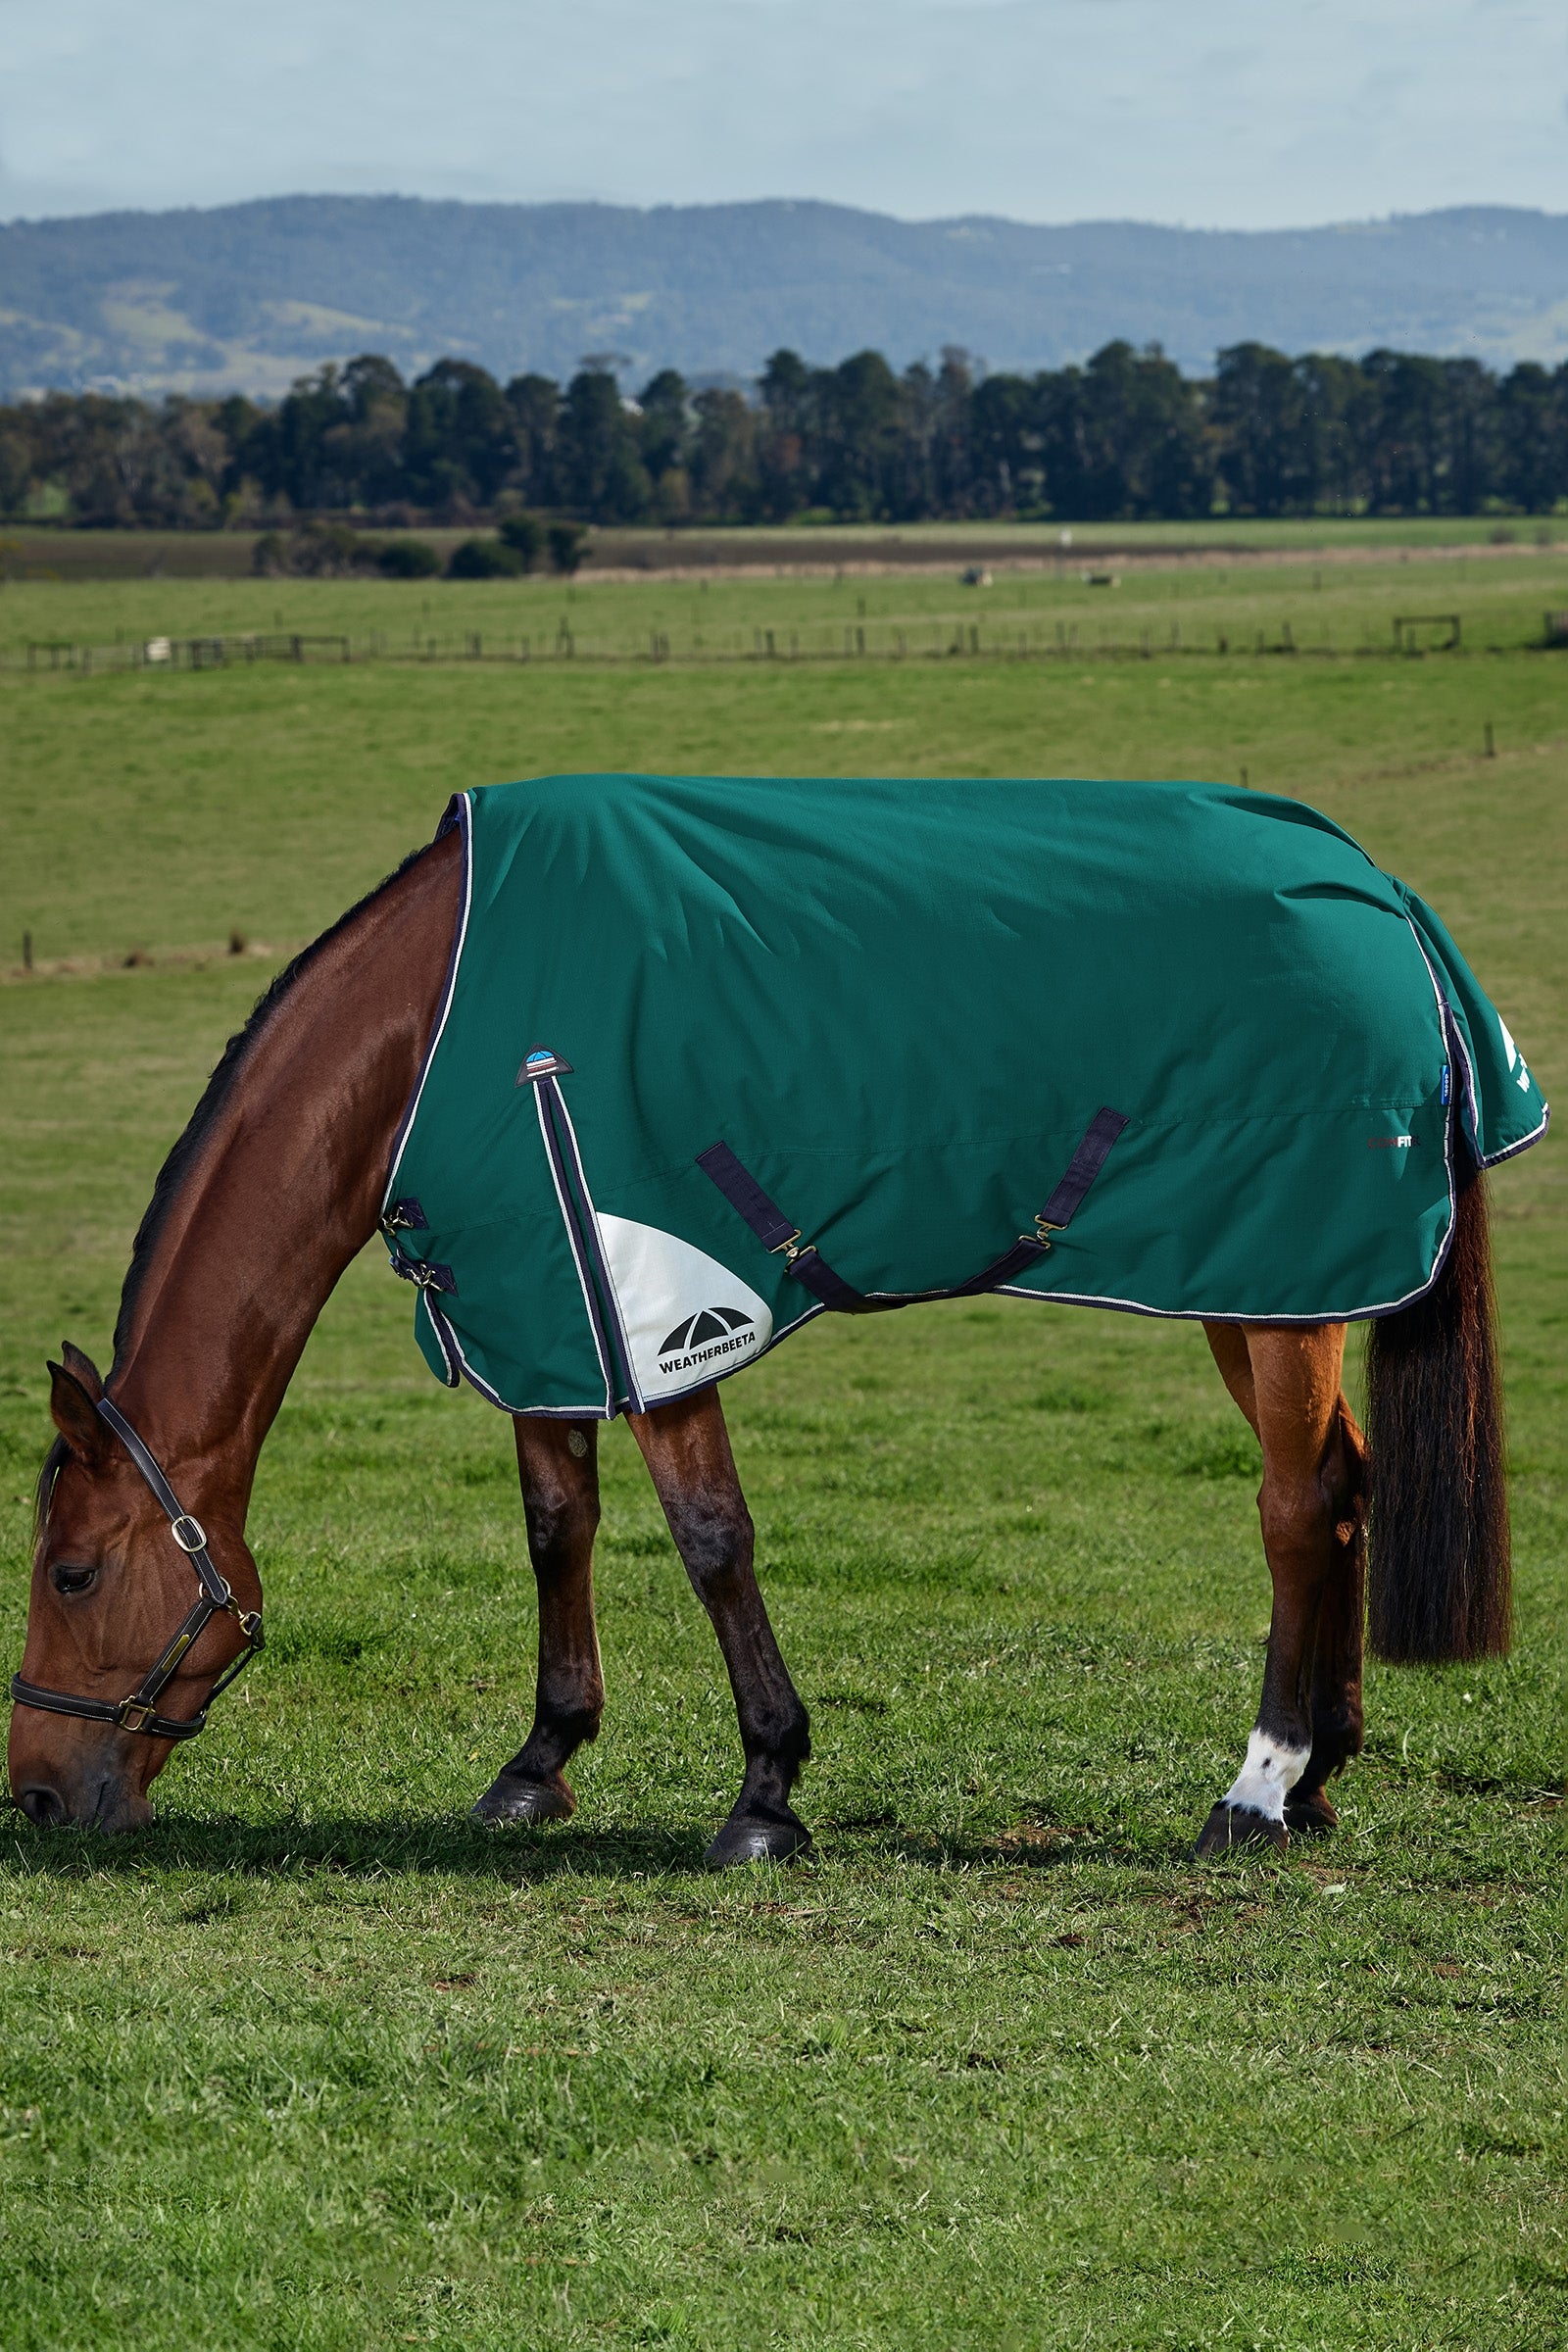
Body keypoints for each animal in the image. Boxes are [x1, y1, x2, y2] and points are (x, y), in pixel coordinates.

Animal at [10, 810, 1514, 1857]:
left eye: (73, 1573)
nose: (33, 1795)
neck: (441, 1017)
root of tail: (1384, 896)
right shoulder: (546, 1306)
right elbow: (557, 1527)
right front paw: (540, 1760)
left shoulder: (662, 1308)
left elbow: (710, 1540)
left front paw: (766, 1788)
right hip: (1263, 1288)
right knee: (1346, 1485)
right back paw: (1322, 1774)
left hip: (1275, 1288)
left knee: (1294, 1505)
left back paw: (1255, 1788)